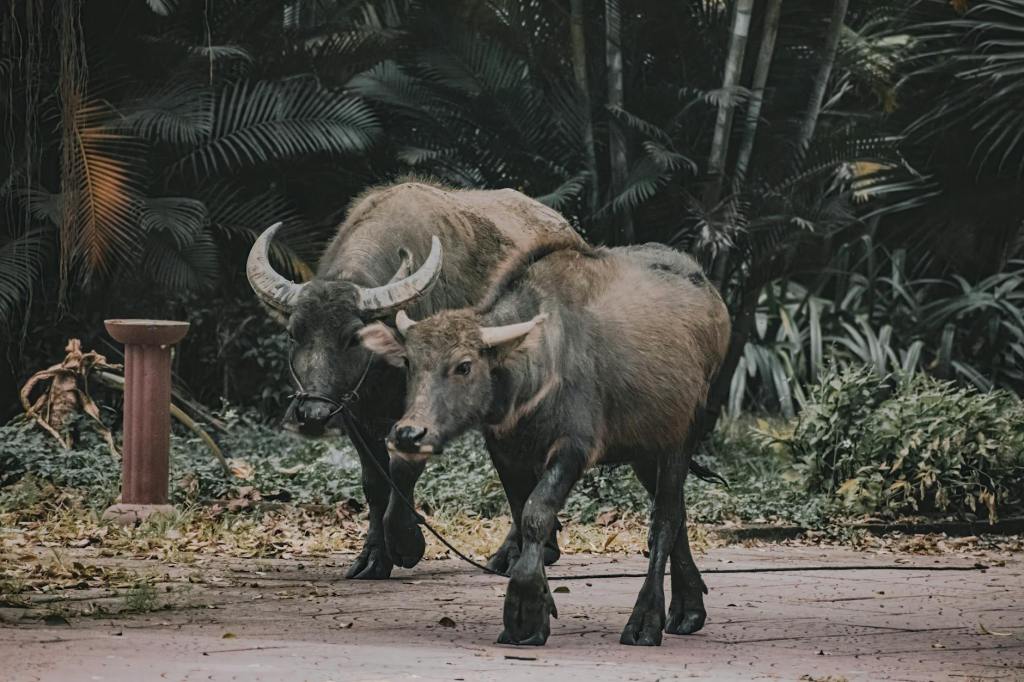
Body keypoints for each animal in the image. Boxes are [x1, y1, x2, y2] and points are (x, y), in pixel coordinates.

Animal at [246, 181, 582, 579]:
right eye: (293, 335)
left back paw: (521, 552)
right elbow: (374, 482)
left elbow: (403, 468)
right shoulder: (352, 413)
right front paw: (373, 557)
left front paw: (406, 544)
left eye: (352, 337)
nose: (312, 415)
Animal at [359, 238, 730, 646]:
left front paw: (524, 612)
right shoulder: (506, 452)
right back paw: (688, 609)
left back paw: (645, 621)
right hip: (647, 450)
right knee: (678, 516)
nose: (410, 434)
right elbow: (522, 517)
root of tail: (713, 300)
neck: (535, 366)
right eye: (410, 362)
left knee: (664, 520)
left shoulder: (573, 448)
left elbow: (537, 514)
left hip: (681, 437)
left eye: (464, 365)